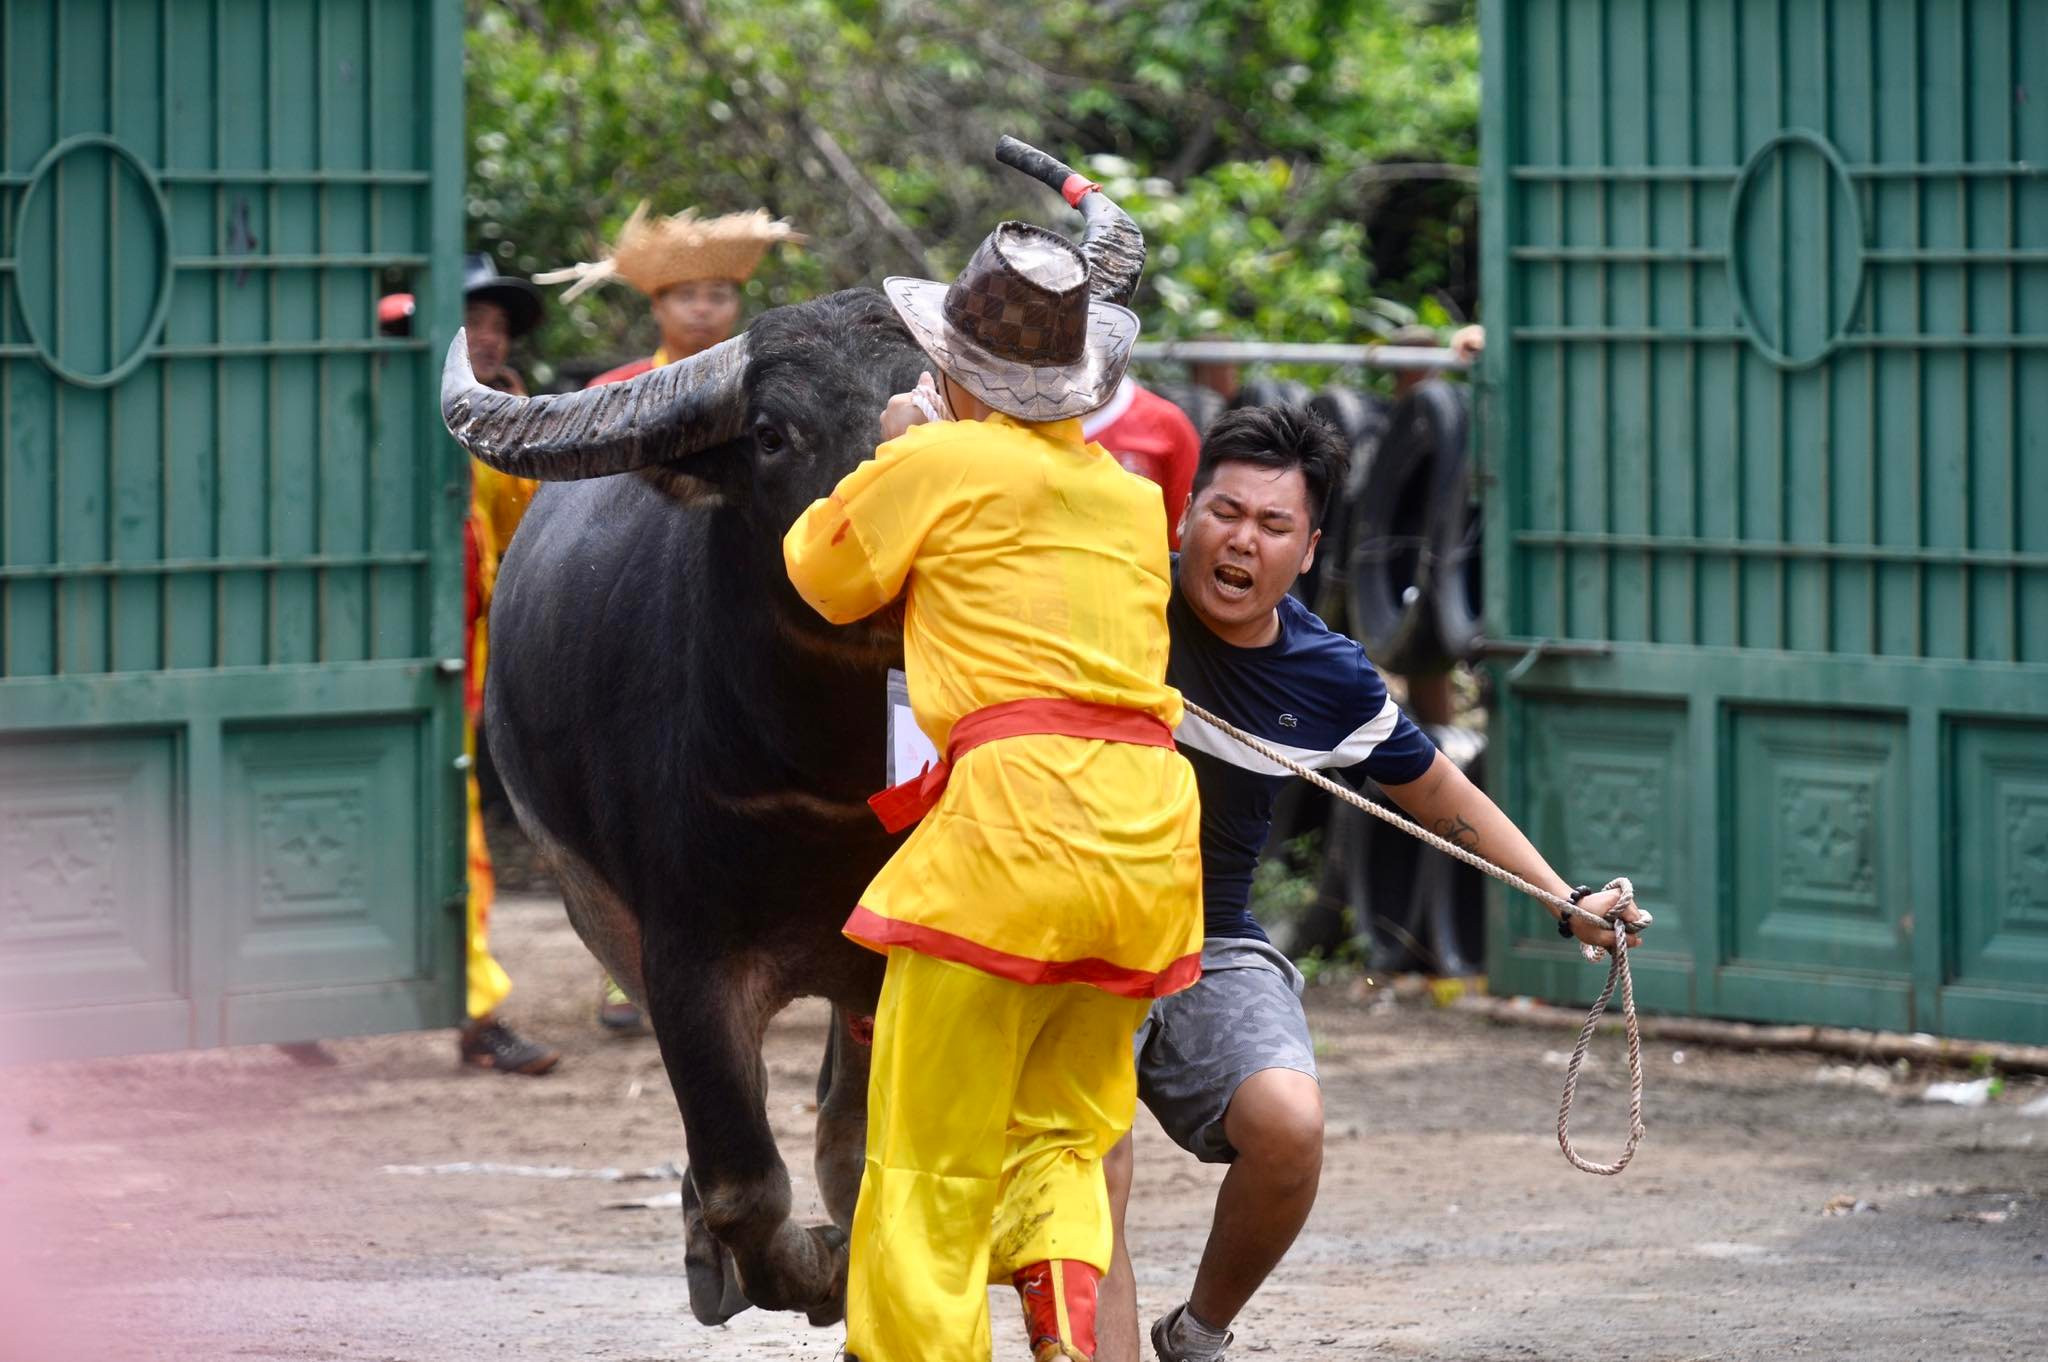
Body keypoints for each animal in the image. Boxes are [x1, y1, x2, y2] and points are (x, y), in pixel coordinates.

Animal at [440, 140, 1146, 1327]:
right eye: (773, 434)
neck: (816, 782)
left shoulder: (899, 957)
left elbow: (856, 1149)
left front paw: (848, 1263)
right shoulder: (682, 958)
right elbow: (743, 1178)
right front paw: (779, 1266)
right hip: (597, 914)